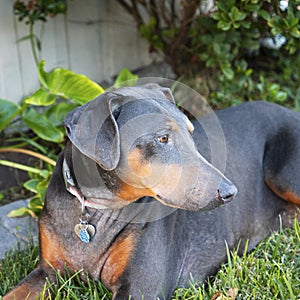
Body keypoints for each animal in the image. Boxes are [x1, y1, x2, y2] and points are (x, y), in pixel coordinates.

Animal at [4, 84, 300, 300]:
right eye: (163, 138)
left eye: (191, 134)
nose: (230, 192)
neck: (96, 207)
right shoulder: (48, 272)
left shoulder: (141, 288)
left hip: (283, 173)